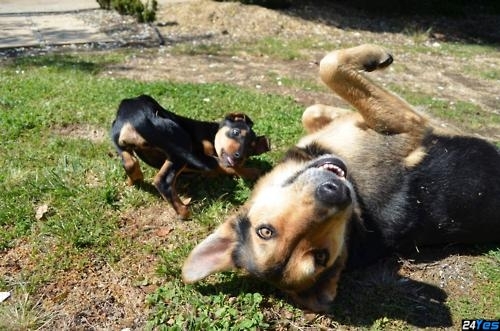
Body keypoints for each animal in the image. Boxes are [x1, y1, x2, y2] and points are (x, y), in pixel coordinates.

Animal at [112, 94, 272, 219]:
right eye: (236, 132)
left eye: (250, 149)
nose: (239, 157)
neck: (211, 134)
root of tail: (141, 116)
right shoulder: (204, 156)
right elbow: (228, 167)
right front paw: (253, 172)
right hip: (180, 146)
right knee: (162, 180)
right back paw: (183, 211)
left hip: (117, 136)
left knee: (130, 163)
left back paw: (133, 181)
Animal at [182, 44, 500, 312]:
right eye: (320, 257)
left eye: (265, 230)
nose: (334, 192)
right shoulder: (405, 125)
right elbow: (331, 66)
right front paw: (374, 56)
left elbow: (313, 107)